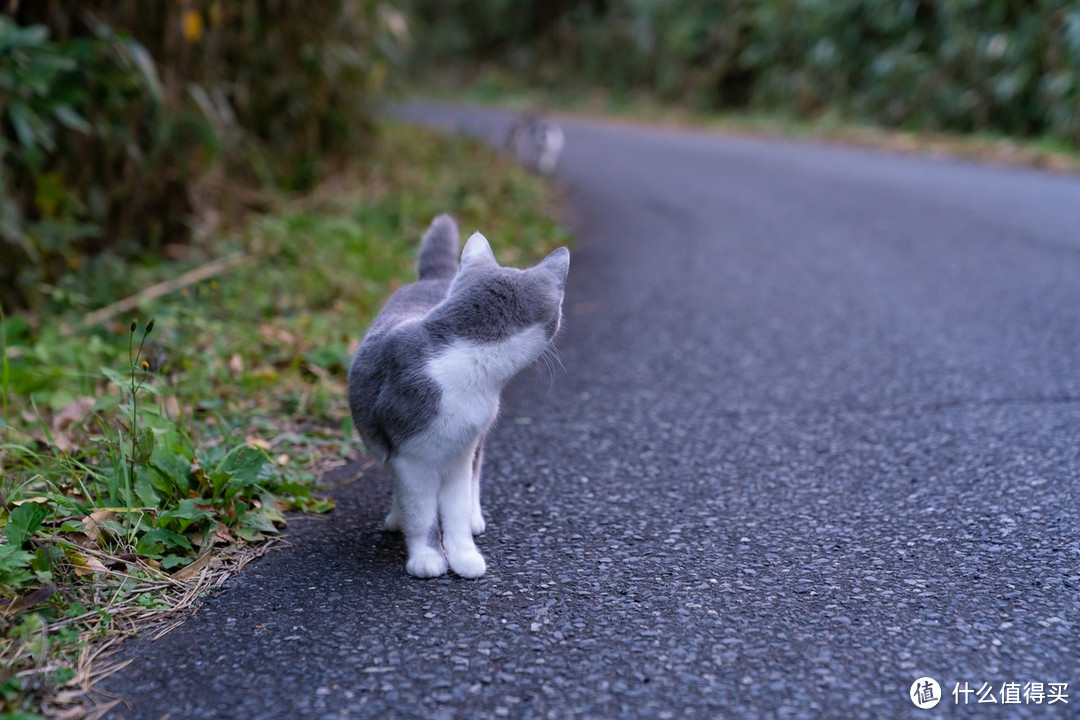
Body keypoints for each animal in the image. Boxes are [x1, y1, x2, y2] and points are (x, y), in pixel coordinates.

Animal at [347, 213, 570, 578]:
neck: (466, 361)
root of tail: (437, 279)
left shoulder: (460, 453)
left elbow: (456, 511)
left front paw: (464, 555)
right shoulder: (411, 458)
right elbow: (421, 515)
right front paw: (427, 558)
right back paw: (397, 517)